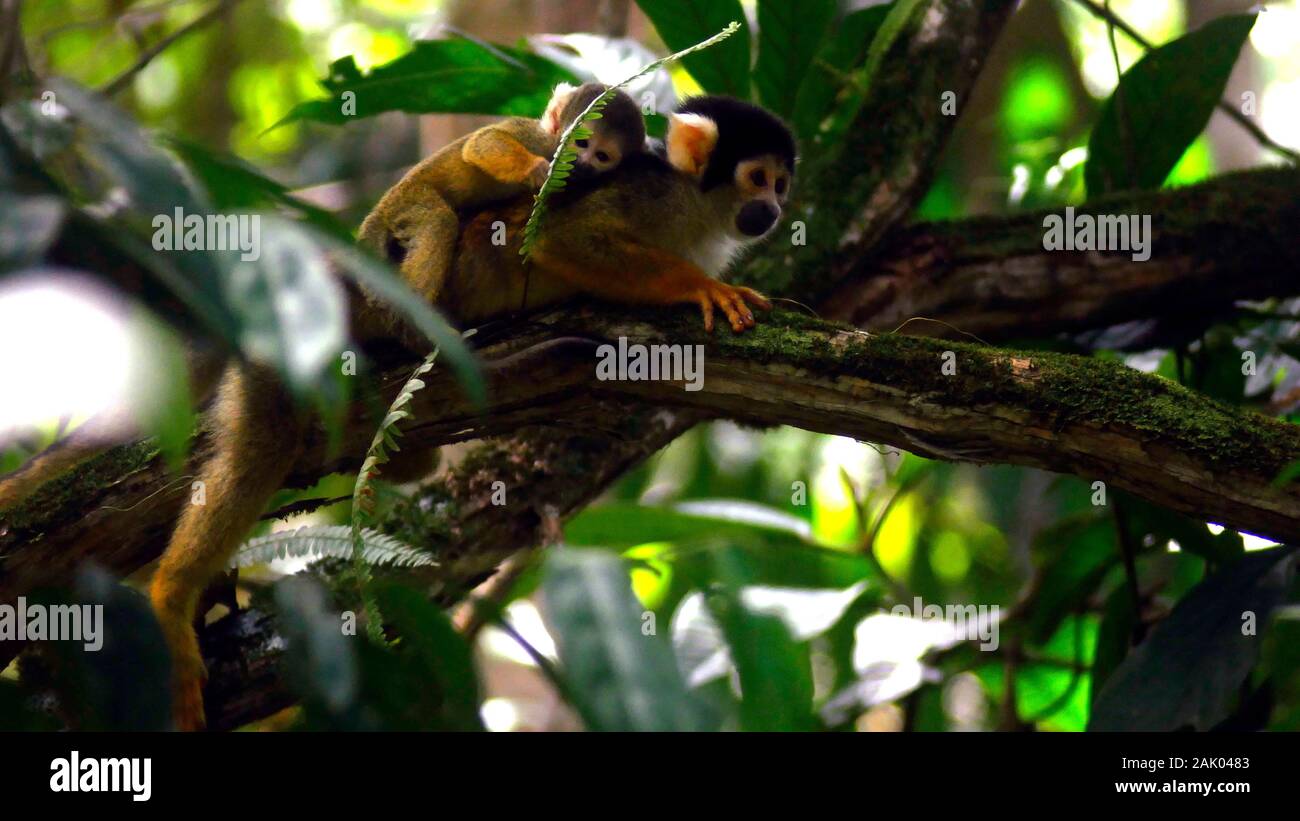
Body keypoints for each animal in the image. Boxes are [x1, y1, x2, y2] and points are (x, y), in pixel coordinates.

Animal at [356, 81, 644, 310]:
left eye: (601, 156)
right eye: (581, 143)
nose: (583, 164)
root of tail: (385, 201)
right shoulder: (540, 140)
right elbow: (483, 142)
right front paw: (535, 170)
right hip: (408, 199)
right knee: (438, 220)